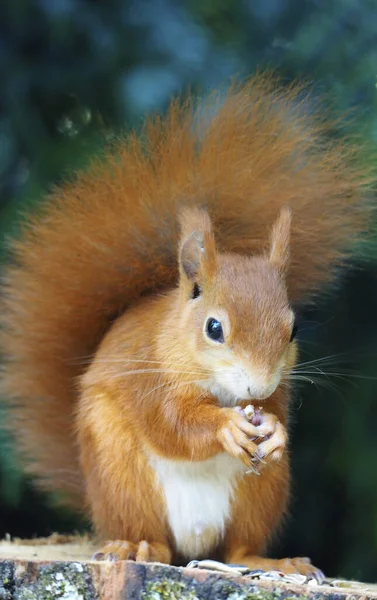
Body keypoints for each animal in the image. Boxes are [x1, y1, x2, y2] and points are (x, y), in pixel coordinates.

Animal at [0, 75, 370, 576]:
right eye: (214, 328)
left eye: (293, 330)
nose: (256, 386)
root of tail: (193, 546)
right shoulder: (148, 375)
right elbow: (170, 424)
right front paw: (224, 427)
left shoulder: (276, 392)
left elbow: (275, 412)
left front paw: (274, 430)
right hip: (122, 477)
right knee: (152, 535)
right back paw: (137, 549)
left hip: (261, 492)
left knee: (237, 550)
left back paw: (276, 561)